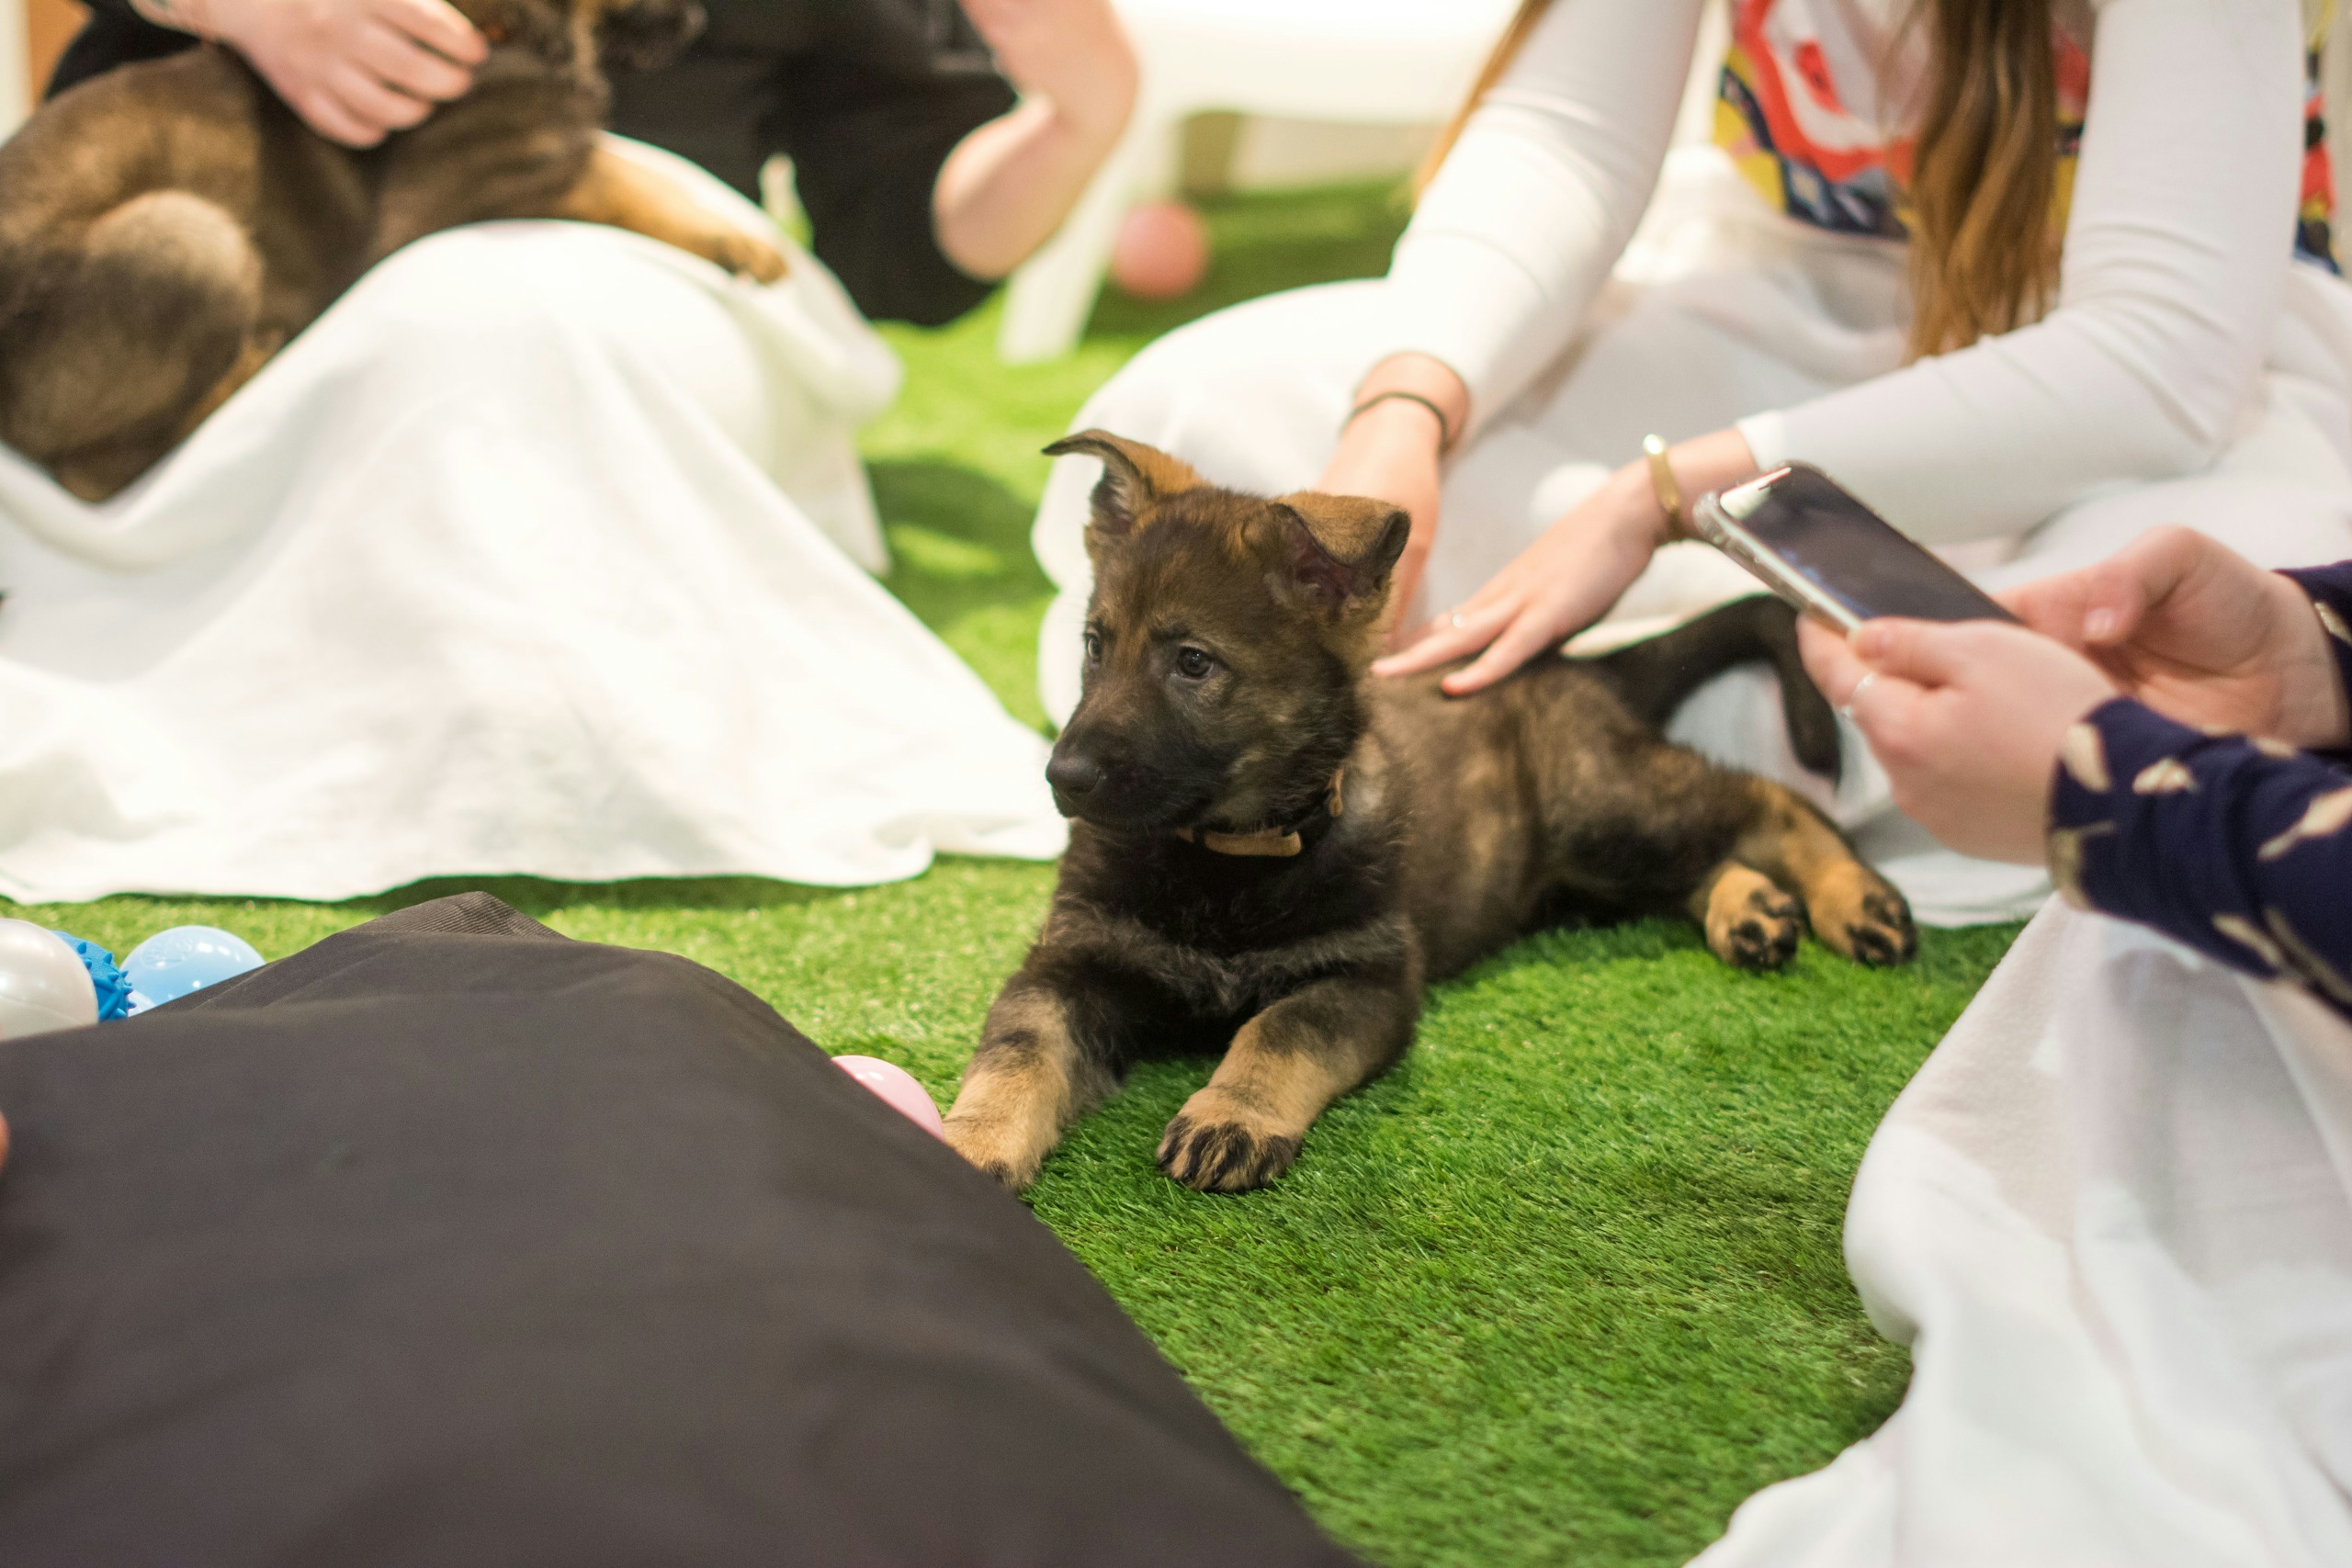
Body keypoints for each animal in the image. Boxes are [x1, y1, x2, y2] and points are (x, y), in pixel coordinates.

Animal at [0, 0, 790, 501]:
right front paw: (744, 243)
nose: (699, 22)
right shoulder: (480, 183)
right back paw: (256, 358)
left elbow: (634, 169)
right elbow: (626, 181)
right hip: (188, 236)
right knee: (96, 473)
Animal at [945, 434, 1918, 1194]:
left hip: (1607, 809)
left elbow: (1276, 1028)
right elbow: (1016, 1053)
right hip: (1585, 868)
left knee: (1768, 798)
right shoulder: (1069, 965)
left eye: (1192, 662)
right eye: (1093, 646)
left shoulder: (1367, 976)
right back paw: (1749, 908)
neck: (1227, 857)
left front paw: (1233, 1111)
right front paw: (967, 1140)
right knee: (1702, 858)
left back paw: (1853, 897)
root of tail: (1579, 665)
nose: (1061, 775)